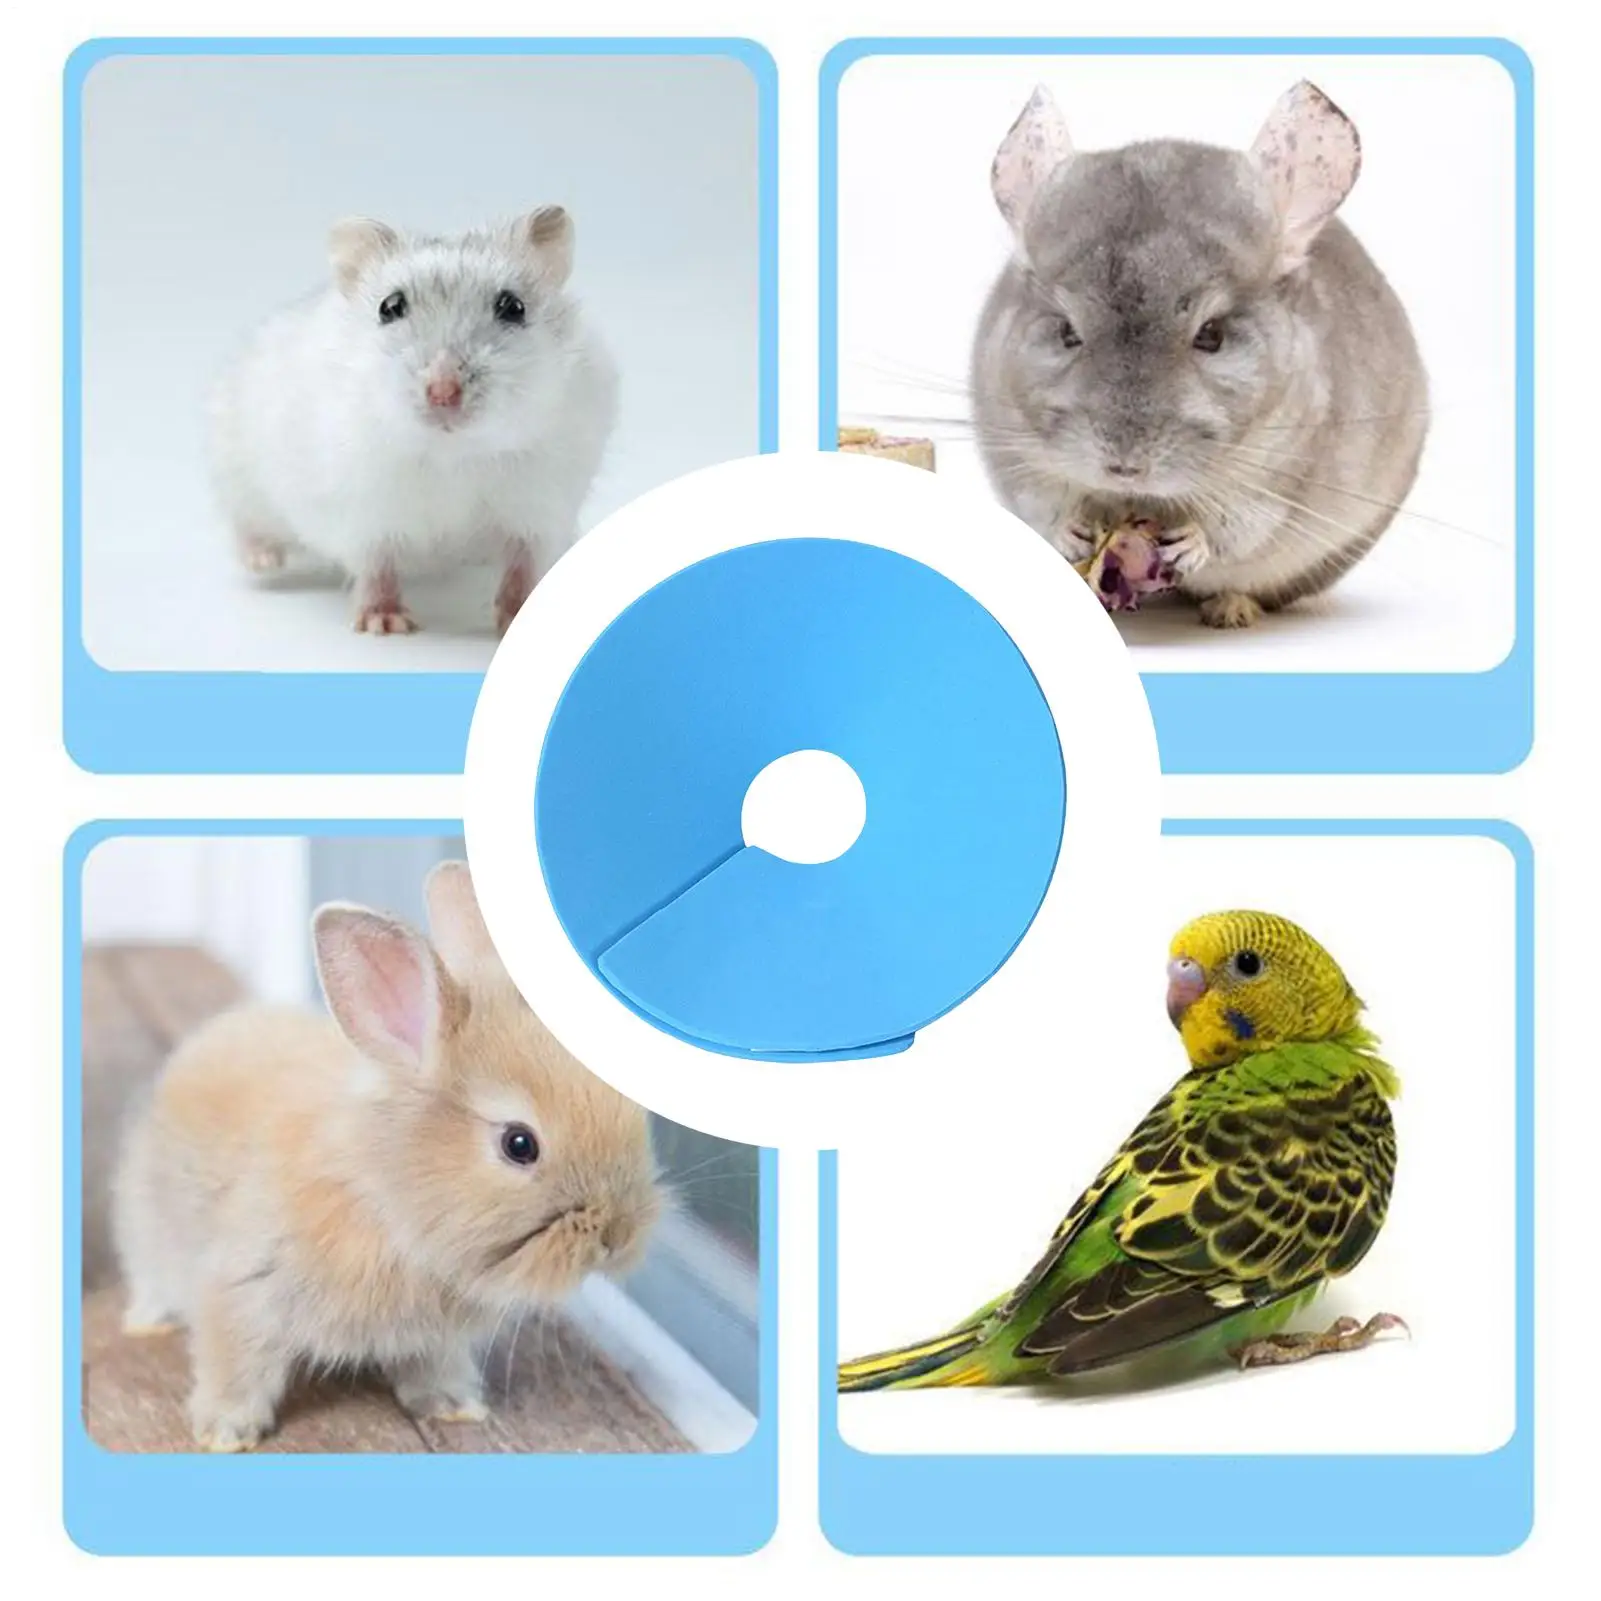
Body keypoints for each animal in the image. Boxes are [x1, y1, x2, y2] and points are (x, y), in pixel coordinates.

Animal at [110, 860, 661, 1452]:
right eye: (520, 1144)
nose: (618, 1236)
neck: (386, 1200)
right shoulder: (242, 1292)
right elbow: (234, 1366)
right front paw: (225, 1433)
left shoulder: (434, 1341)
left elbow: (432, 1371)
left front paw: (455, 1409)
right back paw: (148, 1323)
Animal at [971, 80, 1429, 627]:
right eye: (1065, 332)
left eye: (1211, 335)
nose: (1124, 468)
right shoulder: (1013, 449)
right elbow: (1041, 499)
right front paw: (1071, 531)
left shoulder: (1281, 478)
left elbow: (1237, 526)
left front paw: (1189, 544)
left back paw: (1230, 610)